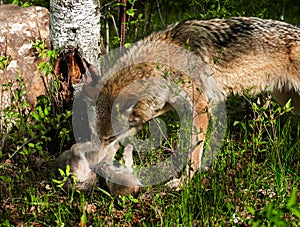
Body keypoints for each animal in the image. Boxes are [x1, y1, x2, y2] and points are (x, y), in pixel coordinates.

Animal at [58, 17, 300, 195]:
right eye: (98, 135)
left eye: (108, 137)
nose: (93, 164)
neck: (161, 64)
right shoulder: (166, 104)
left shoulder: (201, 108)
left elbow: (193, 153)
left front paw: (184, 183)